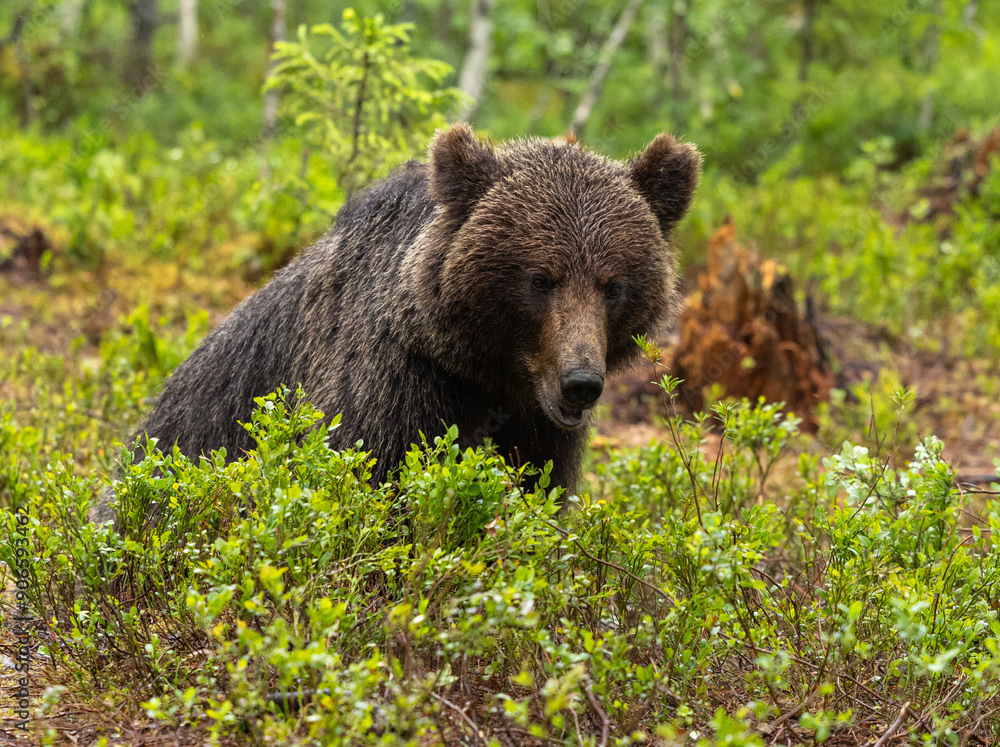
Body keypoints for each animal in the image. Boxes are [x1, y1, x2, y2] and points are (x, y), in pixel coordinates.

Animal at [89, 123, 700, 524]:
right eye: (540, 278)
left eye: (613, 284)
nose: (581, 383)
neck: (484, 373)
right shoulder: (390, 387)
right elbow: (370, 483)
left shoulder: (536, 428)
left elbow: (537, 489)